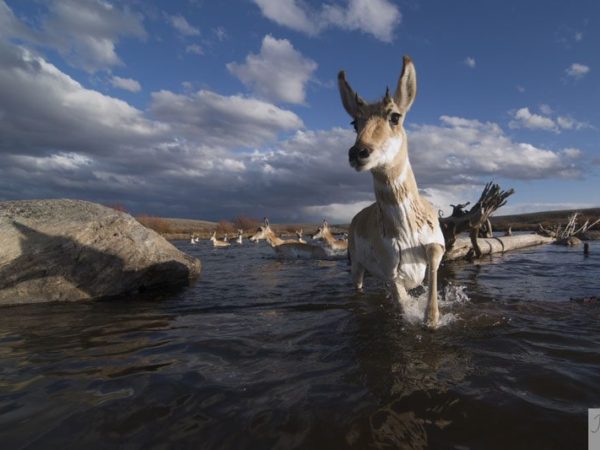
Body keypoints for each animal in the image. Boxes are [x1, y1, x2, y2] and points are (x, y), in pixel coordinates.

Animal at [338, 56, 446, 328]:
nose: (358, 152)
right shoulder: (391, 275)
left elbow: (433, 252)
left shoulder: (437, 245)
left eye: (395, 116)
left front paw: (431, 317)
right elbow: (402, 302)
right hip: (357, 269)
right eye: (354, 122)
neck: (407, 231)